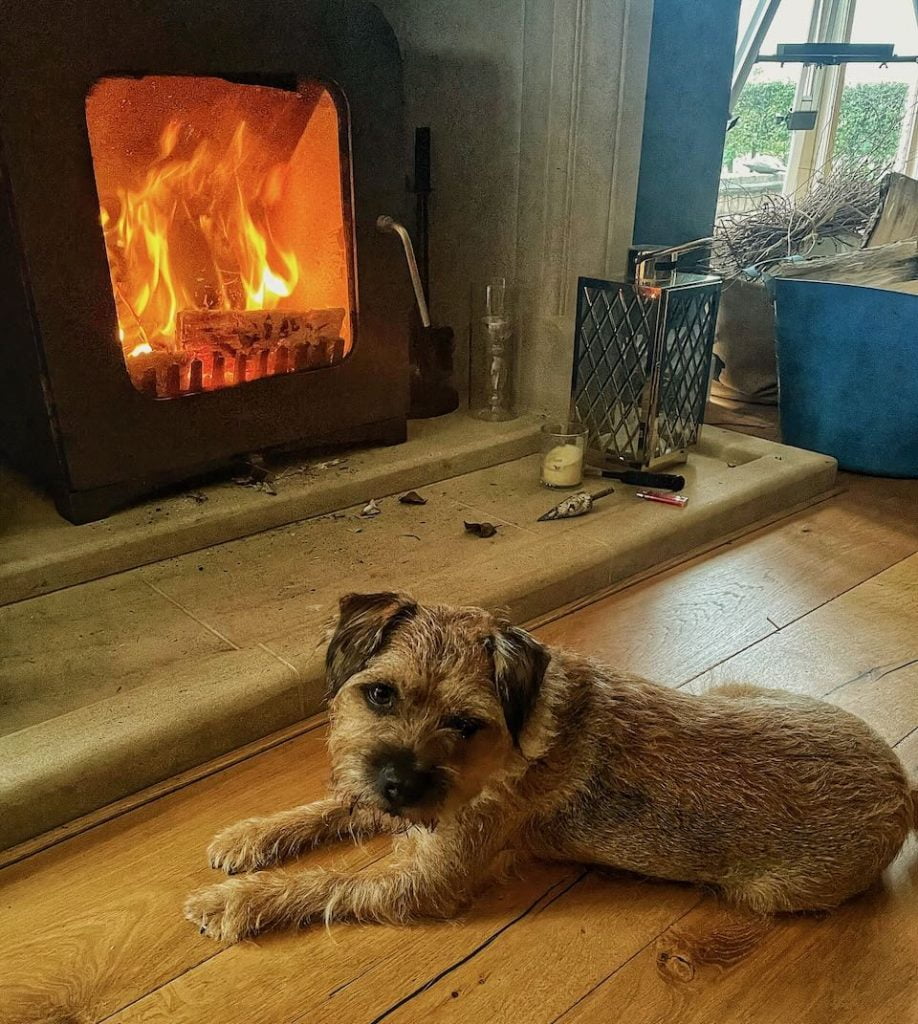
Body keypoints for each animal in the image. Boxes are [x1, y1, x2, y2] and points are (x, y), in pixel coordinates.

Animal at [182, 593, 913, 942]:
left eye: (466, 723)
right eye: (380, 694)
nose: (401, 785)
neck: (514, 739)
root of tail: (905, 789)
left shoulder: (427, 879)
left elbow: (326, 884)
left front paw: (235, 902)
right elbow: (338, 803)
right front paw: (250, 834)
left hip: (770, 893)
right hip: (738, 689)